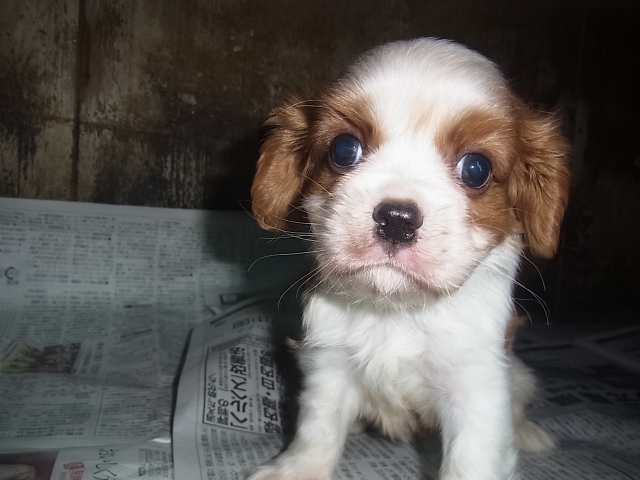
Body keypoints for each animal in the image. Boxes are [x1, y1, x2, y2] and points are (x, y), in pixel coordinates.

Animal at [249, 38, 570, 480]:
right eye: (344, 149)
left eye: (476, 169)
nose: (397, 219)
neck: (396, 310)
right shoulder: (329, 364)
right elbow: (318, 427)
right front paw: (298, 469)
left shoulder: (477, 389)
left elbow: (472, 461)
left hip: (519, 377)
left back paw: (528, 433)